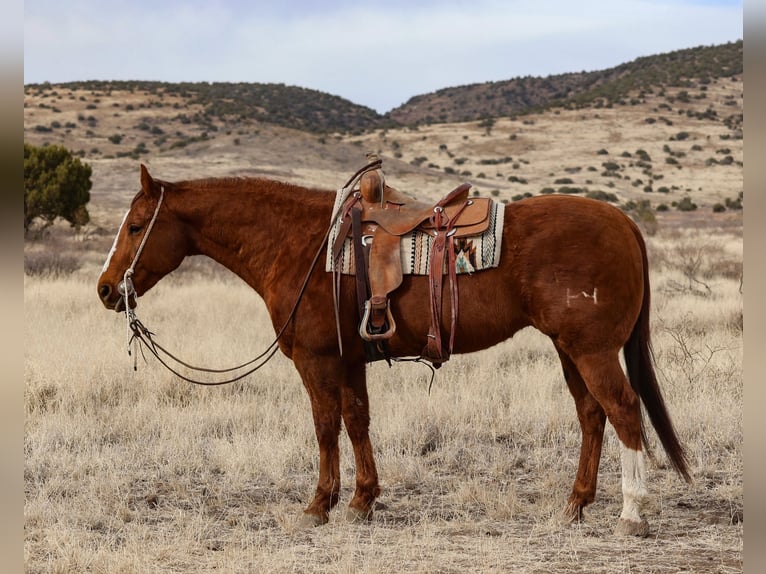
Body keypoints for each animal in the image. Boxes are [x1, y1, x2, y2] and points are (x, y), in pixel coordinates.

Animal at [99, 164, 692, 536]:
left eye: (136, 226)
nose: (107, 289)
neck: (302, 245)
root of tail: (623, 221)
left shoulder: (317, 360)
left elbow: (325, 427)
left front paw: (318, 505)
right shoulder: (349, 360)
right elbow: (357, 420)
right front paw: (362, 500)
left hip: (593, 350)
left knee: (623, 410)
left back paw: (632, 513)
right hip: (570, 350)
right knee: (592, 415)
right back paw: (575, 505)